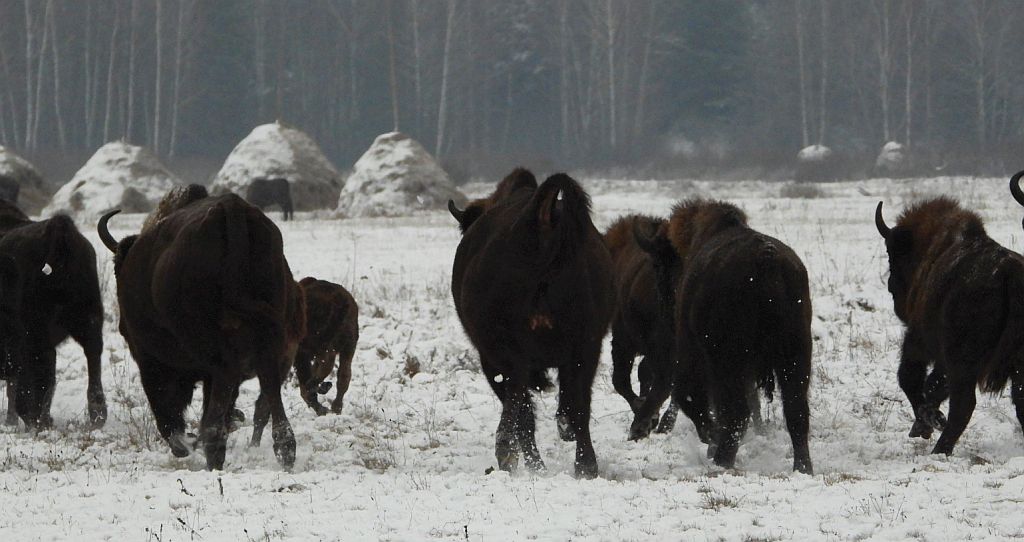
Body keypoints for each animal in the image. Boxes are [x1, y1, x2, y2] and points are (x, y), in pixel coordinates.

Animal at [0, 200, 106, 429]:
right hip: (89, 315)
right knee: (92, 352)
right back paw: (97, 414)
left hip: (33, 330)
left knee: (39, 368)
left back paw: (34, 417)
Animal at [98, 186, 306, 470]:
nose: (121, 327)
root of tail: (231, 211)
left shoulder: (149, 359)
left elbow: (165, 413)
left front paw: (184, 444)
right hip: (269, 339)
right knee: (269, 386)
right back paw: (284, 449)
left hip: (212, 351)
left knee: (221, 398)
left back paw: (211, 447)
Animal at [449, 168, 614, 478]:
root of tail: (542, 221)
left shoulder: (491, 358)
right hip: (586, 347)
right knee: (579, 406)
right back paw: (585, 465)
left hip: (508, 353)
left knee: (520, 405)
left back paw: (508, 454)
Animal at [639, 199, 813, 474]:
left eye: (659, 265)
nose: (666, 310)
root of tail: (766, 259)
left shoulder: (695, 353)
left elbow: (691, 397)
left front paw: (710, 440)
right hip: (796, 354)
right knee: (796, 411)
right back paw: (803, 467)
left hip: (730, 360)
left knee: (736, 412)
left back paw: (722, 460)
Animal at [876, 197, 1024, 456]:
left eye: (892, 253)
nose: (892, 287)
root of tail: (1010, 275)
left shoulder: (919, 340)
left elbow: (910, 378)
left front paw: (926, 424)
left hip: (962, 363)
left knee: (963, 405)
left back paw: (939, 449)